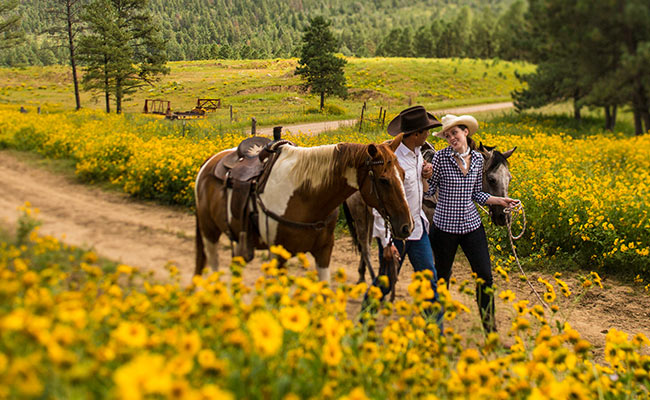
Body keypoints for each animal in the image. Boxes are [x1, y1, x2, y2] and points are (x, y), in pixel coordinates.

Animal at [191, 134, 410, 282]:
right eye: (383, 180)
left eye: (403, 174)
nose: (407, 226)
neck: (305, 196)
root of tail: (210, 161)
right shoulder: (278, 256)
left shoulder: (324, 252)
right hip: (210, 232)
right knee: (214, 266)